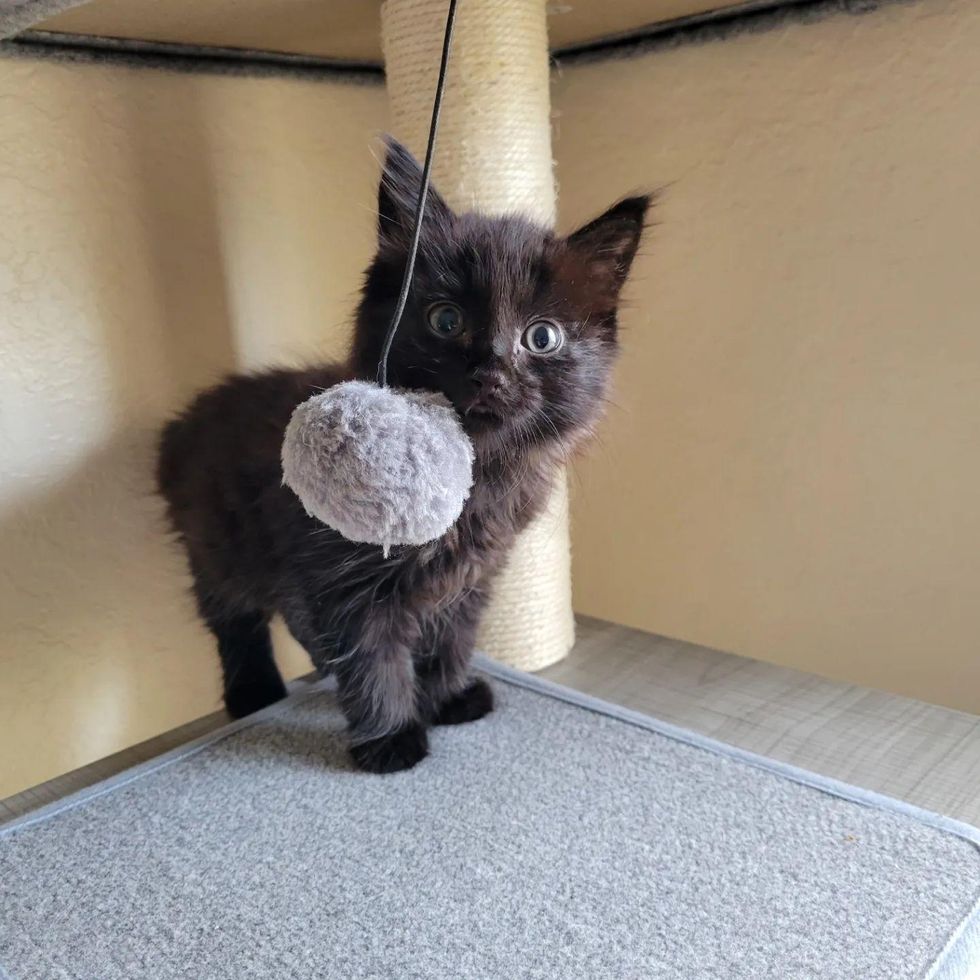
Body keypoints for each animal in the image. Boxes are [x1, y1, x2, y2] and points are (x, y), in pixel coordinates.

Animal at [159, 138, 652, 772]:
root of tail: (187, 419)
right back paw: (254, 692)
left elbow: (450, 639)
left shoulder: (472, 576)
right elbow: (372, 657)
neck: (472, 477)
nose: (490, 373)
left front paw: (445, 698)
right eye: (446, 319)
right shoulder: (342, 576)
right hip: (217, 546)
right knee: (235, 619)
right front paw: (390, 737)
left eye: (541, 338)